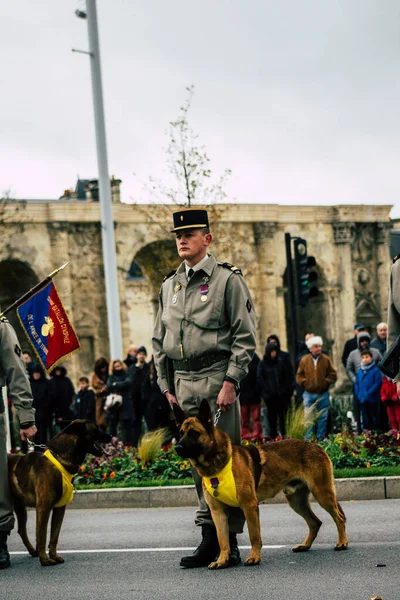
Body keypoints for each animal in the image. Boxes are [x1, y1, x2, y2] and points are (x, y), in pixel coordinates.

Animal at [7, 420, 110, 564]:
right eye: (96, 429)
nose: (111, 436)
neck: (59, 458)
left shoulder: (60, 508)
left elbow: (54, 535)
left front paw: (53, 555)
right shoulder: (43, 508)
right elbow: (42, 535)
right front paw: (44, 559)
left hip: (20, 507)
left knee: (21, 530)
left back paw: (32, 551)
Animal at [173, 400, 348, 568]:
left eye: (194, 433)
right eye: (180, 433)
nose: (177, 447)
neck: (216, 464)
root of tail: (316, 445)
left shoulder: (249, 506)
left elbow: (254, 535)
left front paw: (254, 557)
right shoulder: (217, 512)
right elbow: (223, 540)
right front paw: (222, 560)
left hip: (322, 494)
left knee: (339, 518)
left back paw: (342, 543)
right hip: (297, 501)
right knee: (315, 523)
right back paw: (305, 545)